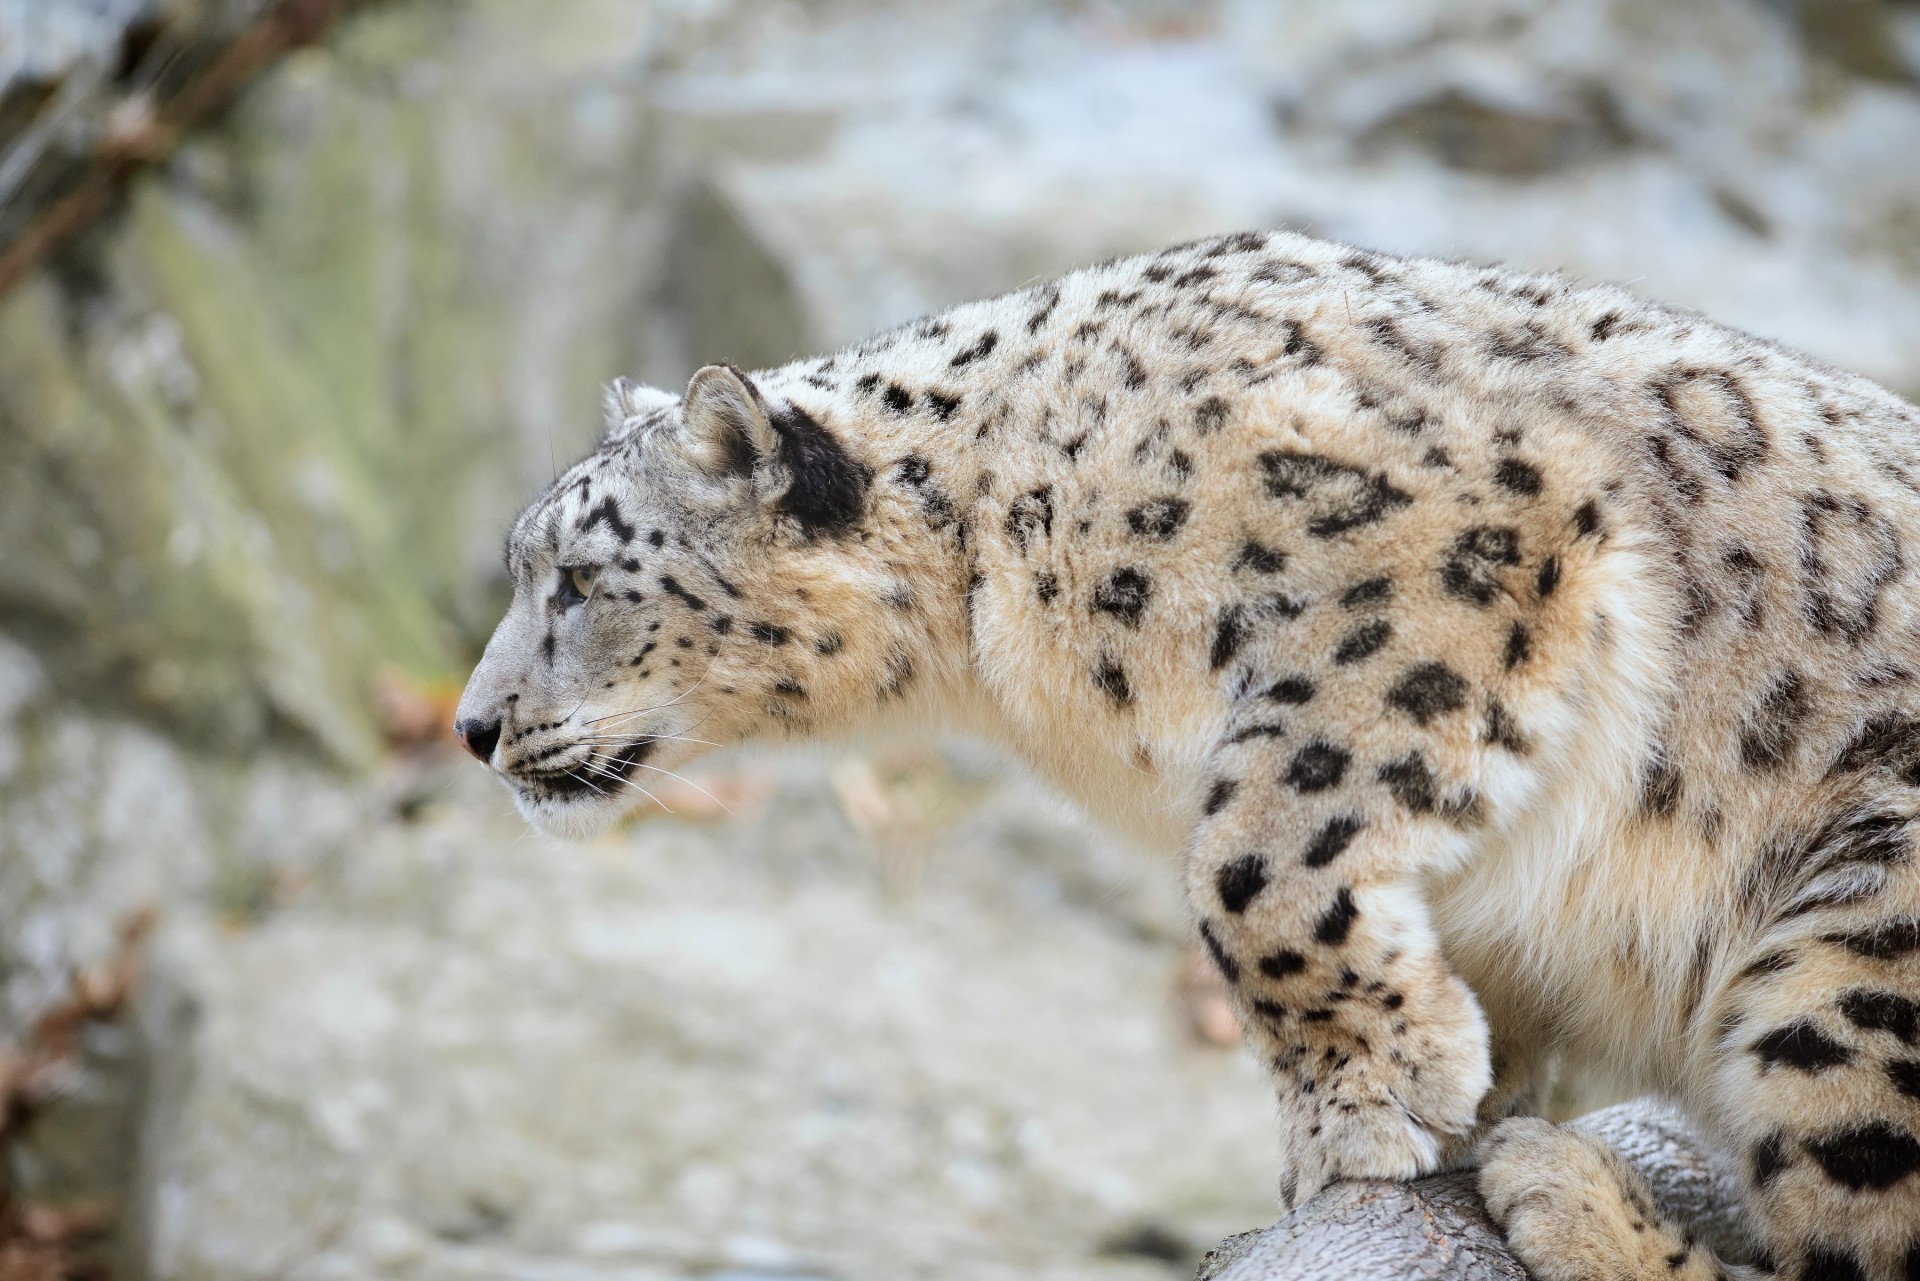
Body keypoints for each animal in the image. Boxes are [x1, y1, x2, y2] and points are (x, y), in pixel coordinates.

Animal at [455, 228, 1920, 1281]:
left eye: (576, 579)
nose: (473, 726)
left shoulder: (1447, 555)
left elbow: (1253, 863)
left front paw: (1363, 1104)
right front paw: (1459, 1074)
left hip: (1856, 948)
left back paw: (1572, 1202)